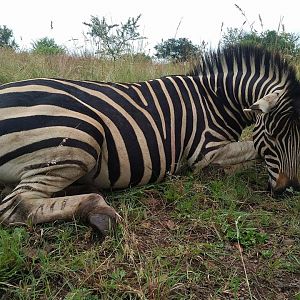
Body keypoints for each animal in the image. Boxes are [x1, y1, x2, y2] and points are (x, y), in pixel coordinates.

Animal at [0, 45, 298, 236]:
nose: (289, 190)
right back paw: (99, 211)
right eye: (272, 137)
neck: (217, 99)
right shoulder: (204, 152)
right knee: (14, 206)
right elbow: (252, 148)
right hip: (80, 134)